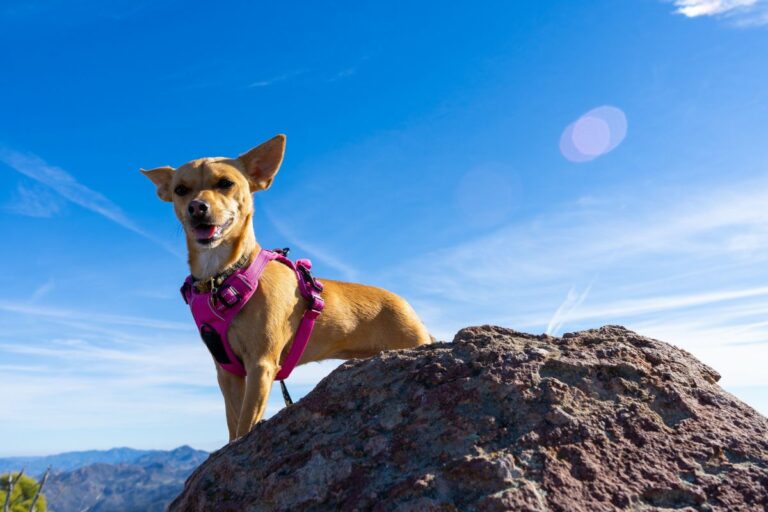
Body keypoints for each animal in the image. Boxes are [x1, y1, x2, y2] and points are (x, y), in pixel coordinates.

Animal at [142, 134, 432, 438]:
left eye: (225, 183)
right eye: (180, 190)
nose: (197, 207)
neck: (223, 276)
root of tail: (408, 307)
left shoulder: (261, 365)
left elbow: (246, 425)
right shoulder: (228, 373)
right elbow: (234, 426)